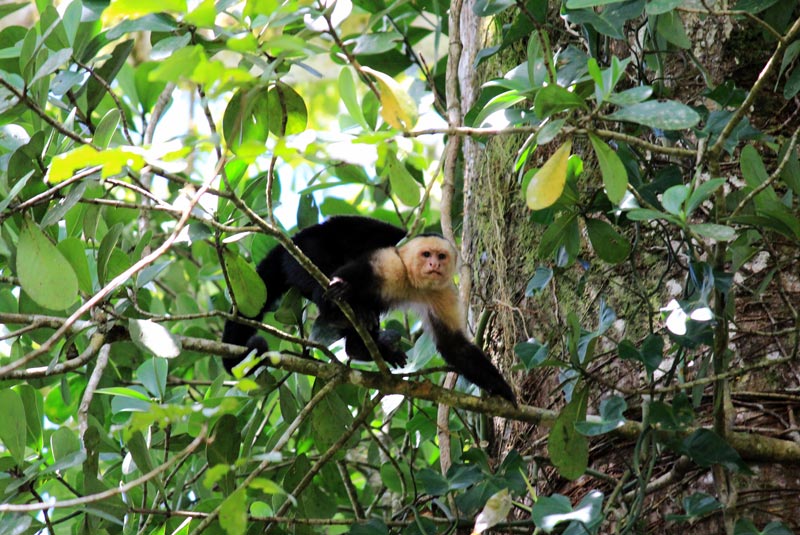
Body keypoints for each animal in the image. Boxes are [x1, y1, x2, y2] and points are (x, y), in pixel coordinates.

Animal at [222, 216, 516, 404]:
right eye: (426, 255)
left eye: (441, 256)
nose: (434, 265)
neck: (412, 280)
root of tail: (293, 238)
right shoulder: (390, 260)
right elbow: (347, 274)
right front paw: (339, 289)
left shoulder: (441, 292)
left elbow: (454, 346)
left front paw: (502, 389)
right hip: (302, 252)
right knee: (322, 274)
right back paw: (343, 312)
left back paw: (361, 345)